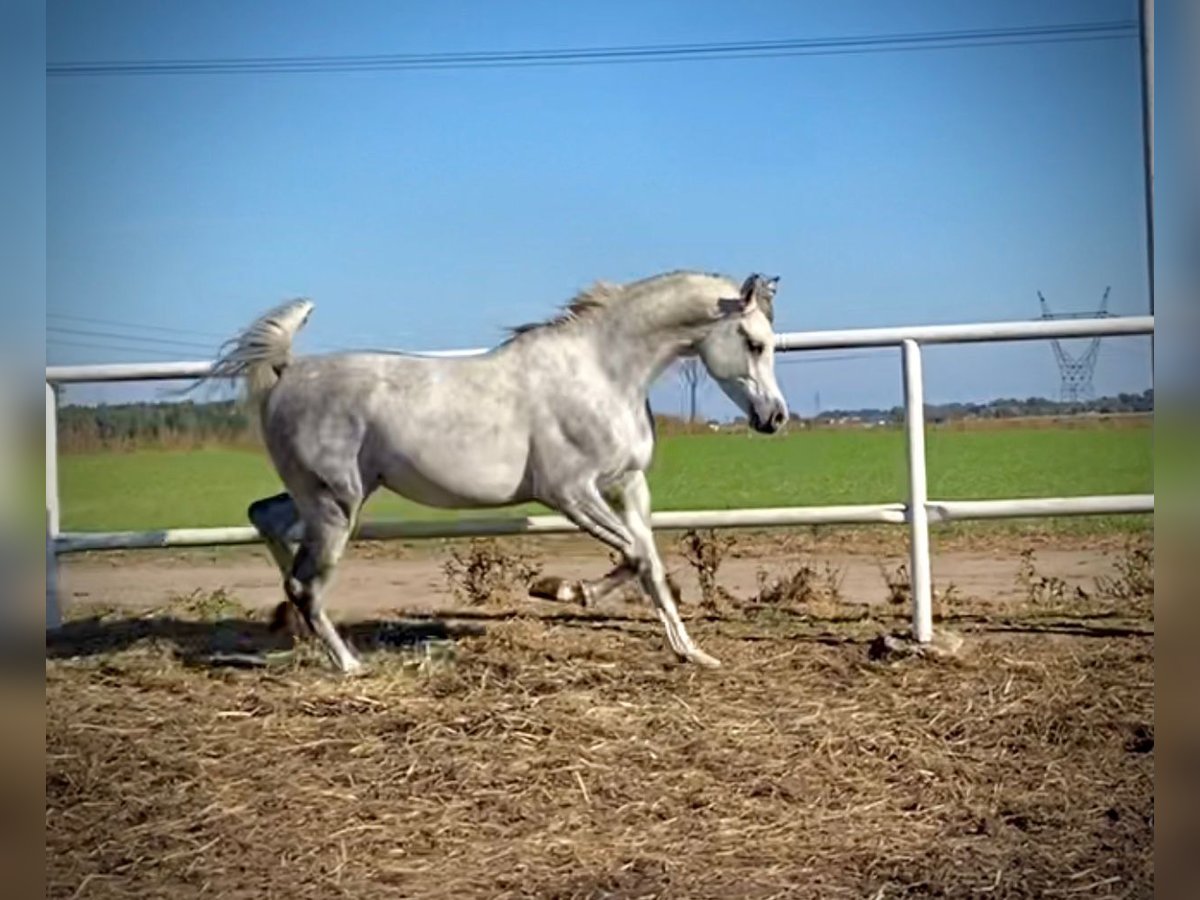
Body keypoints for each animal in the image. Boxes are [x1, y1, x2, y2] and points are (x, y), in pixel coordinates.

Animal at [208, 271, 787, 672]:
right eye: (754, 343)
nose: (775, 418)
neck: (603, 373)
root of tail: (285, 372)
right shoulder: (570, 493)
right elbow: (636, 556)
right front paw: (561, 590)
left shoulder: (628, 485)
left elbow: (651, 565)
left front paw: (693, 653)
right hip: (336, 504)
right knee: (305, 580)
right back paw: (348, 663)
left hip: (322, 497)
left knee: (267, 521)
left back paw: (289, 624)